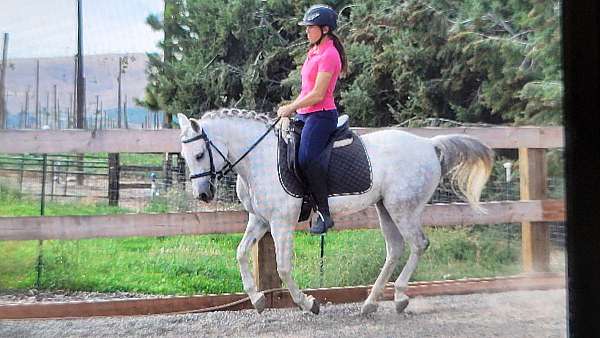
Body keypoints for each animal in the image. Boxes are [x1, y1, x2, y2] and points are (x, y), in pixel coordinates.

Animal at [176, 109, 494, 316]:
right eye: (185, 156)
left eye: (200, 154)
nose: (203, 195)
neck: (260, 156)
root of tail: (428, 144)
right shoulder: (260, 220)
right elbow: (241, 253)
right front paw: (257, 300)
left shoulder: (281, 222)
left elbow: (283, 267)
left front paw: (309, 304)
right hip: (385, 208)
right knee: (395, 249)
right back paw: (370, 304)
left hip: (403, 208)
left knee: (418, 244)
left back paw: (400, 298)